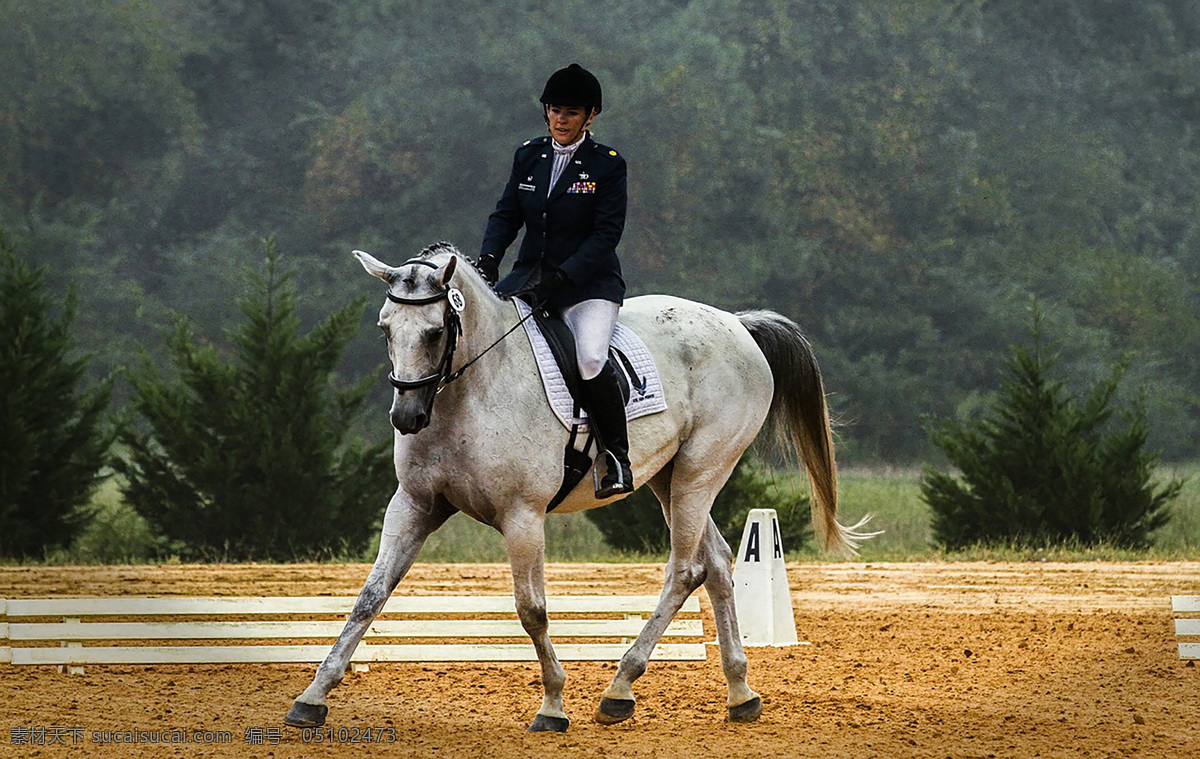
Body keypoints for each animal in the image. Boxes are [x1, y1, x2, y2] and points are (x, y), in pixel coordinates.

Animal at [284, 241, 874, 733]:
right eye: (385, 328)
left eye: (434, 332)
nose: (407, 418)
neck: (468, 394)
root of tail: (738, 324)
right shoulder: (414, 506)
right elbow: (370, 596)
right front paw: (313, 696)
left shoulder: (522, 516)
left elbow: (532, 609)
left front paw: (552, 705)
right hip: (668, 479)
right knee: (719, 563)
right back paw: (739, 692)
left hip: (701, 470)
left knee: (687, 569)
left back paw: (620, 689)